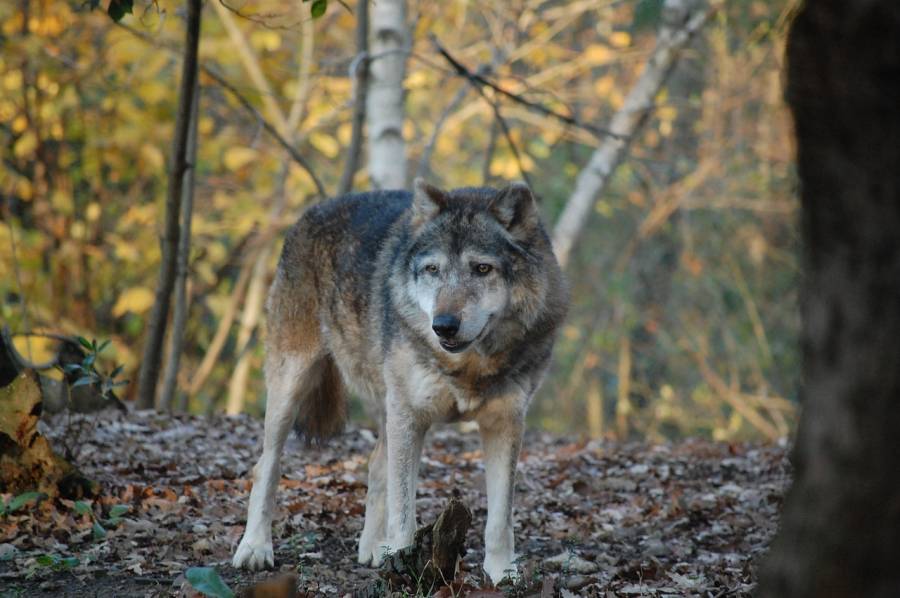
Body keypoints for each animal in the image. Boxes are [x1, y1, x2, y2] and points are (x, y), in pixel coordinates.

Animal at [232, 179, 568, 584]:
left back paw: (373, 547)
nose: (443, 325)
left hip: (385, 406)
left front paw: (503, 575)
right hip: (293, 385)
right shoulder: (410, 416)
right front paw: (405, 570)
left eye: (482, 268)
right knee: (266, 466)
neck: (468, 365)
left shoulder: (504, 422)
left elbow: (500, 519)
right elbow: (404, 510)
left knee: (376, 465)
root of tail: (313, 211)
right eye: (433, 269)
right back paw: (254, 548)